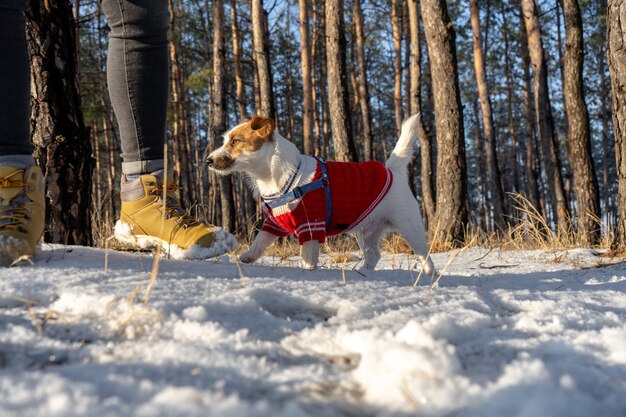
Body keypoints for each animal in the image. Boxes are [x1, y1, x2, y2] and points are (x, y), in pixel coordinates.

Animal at [207, 115, 432, 272]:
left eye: (236, 141)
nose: (208, 160)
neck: (274, 178)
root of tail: (392, 171)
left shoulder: (310, 225)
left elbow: (307, 256)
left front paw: (309, 271)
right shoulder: (274, 223)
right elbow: (260, 241)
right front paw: (248, 257)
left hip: (409, 225)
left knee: (423, 252)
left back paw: (429, 273)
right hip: (365, 231)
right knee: (373, 255)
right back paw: (364, 272)